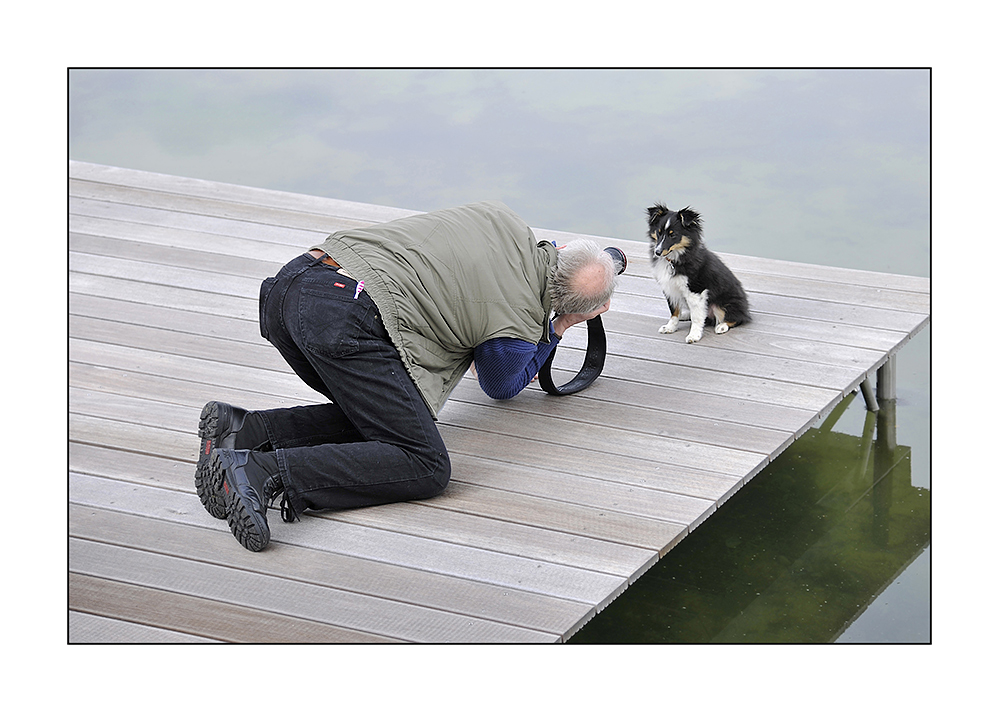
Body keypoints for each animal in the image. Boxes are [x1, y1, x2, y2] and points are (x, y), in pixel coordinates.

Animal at [648, 202, 752, 344]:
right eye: (658, 233)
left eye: (672, 235)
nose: (657, 252)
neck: (674, 258)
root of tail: (746, 310)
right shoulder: (670, 288)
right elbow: (674, 311)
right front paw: (670, 327)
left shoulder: (696, 290)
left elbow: (697, 318)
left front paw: (694, 336)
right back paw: (685, 315)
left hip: (724, 304)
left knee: (737, 318)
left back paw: (722, 326)